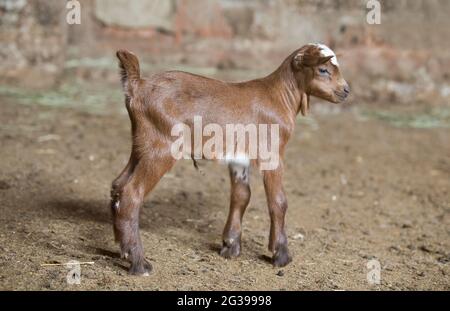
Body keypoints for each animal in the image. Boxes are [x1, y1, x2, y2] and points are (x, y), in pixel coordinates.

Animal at [110, 43, 350, 276]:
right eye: (323, 69)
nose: (346, 90)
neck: (278, 97)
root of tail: (138, 85)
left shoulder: (239, 158)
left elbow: (241, 195)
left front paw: (231, 245)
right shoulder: (272, 154)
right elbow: (278, 201)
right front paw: (281, 254)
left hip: (141, 145)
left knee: (118, 185)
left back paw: (122, 248)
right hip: (163, 147)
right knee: (132, 193)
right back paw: (139, 263)